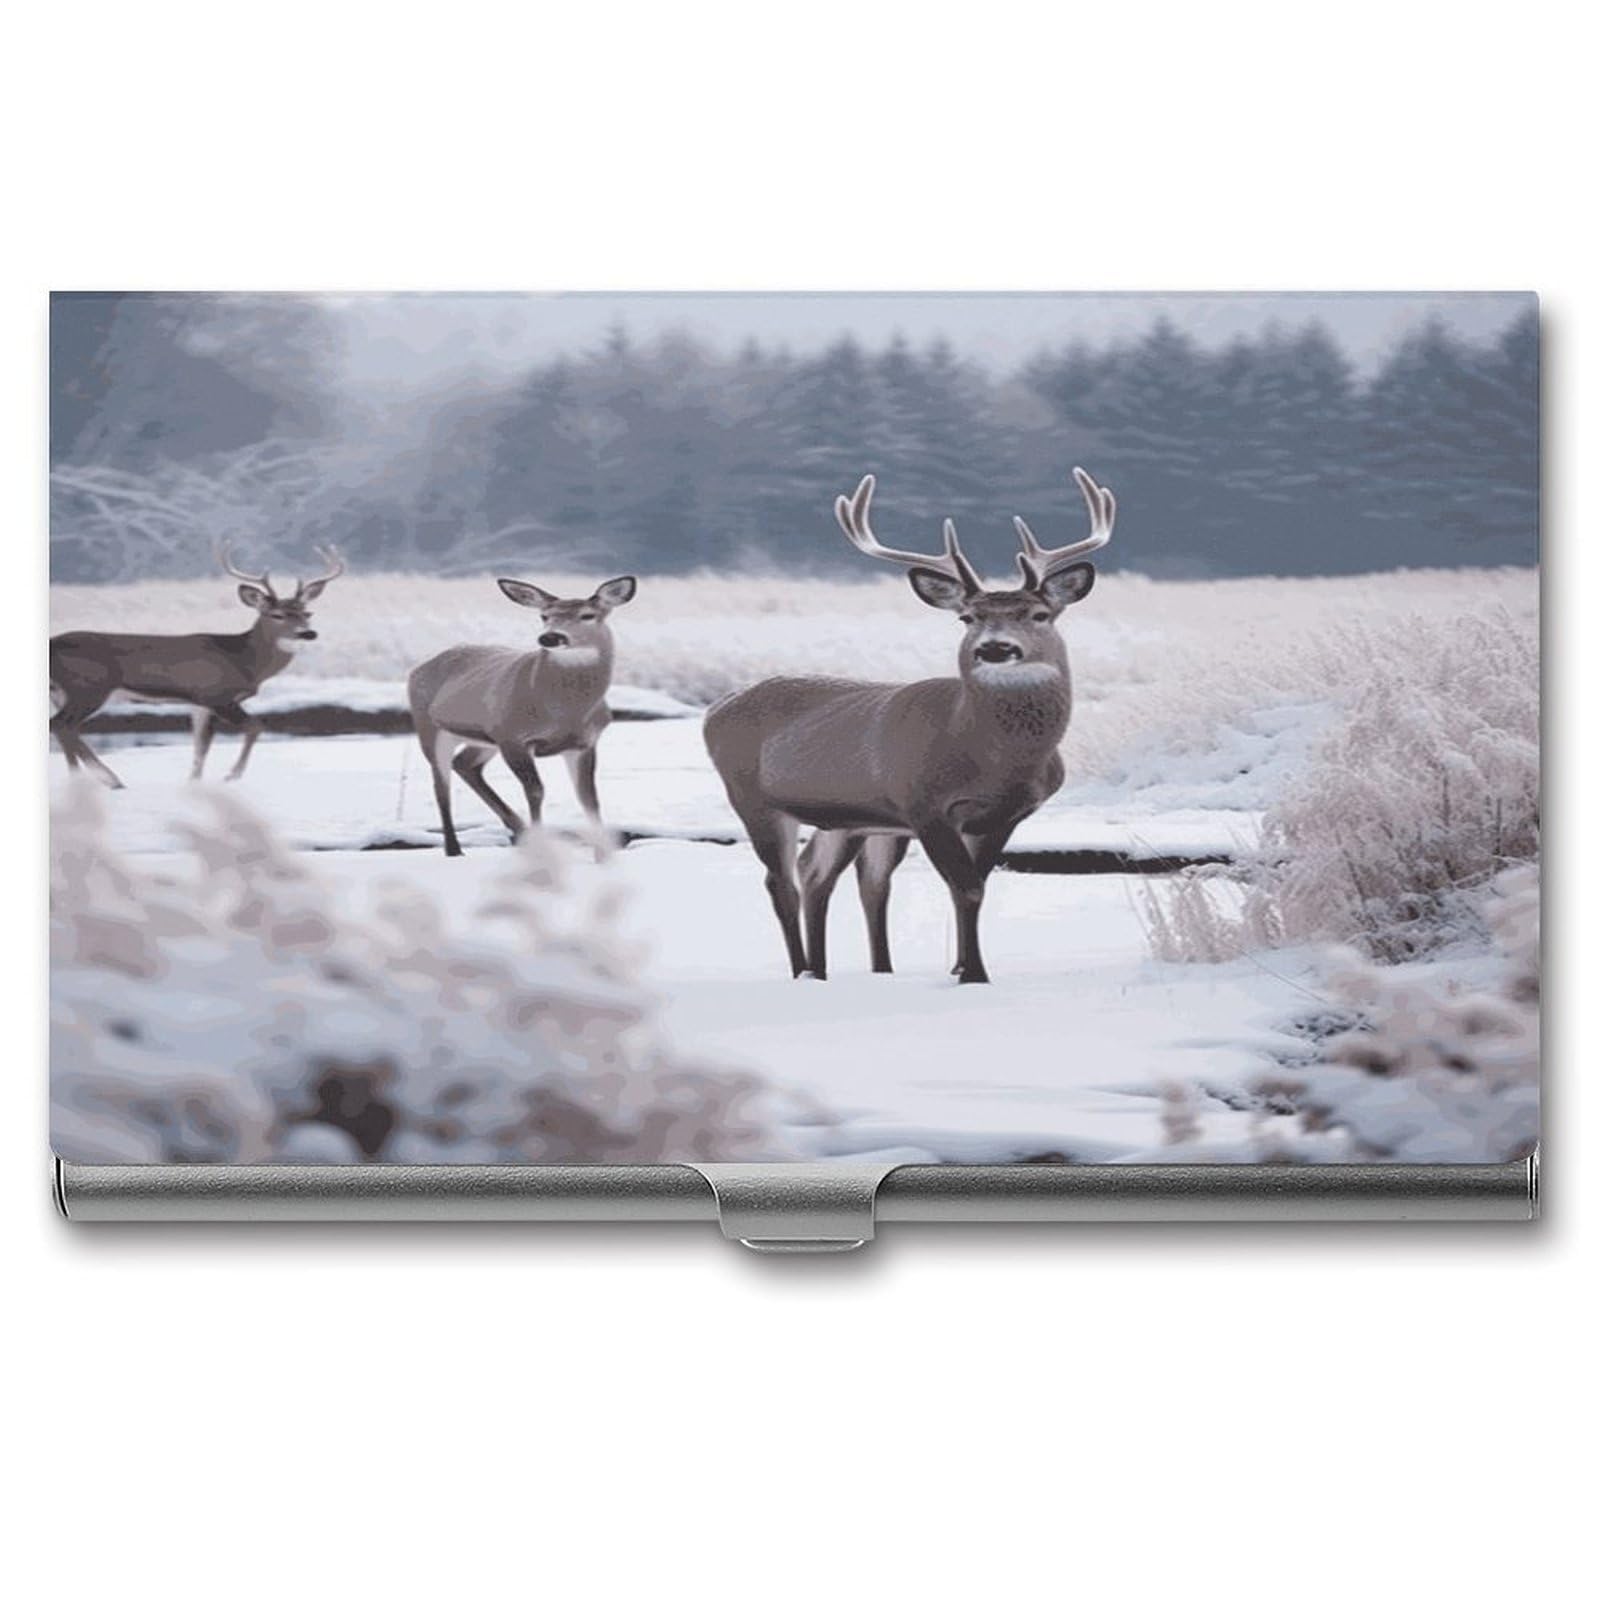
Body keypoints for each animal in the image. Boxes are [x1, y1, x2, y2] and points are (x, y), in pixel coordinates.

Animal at [49, 544, 345, 789]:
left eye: (307, 613)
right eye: (277, 614)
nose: (308, 633)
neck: (244, 660)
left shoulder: (200, 703)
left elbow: (200, 746)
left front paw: (194, 782)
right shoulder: (217, 694)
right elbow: (255, 726)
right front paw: (232, 775)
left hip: (64, 692)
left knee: (64, 727)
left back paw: (93, 779)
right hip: (88, 686)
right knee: (61, 724)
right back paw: (104, 779)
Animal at [406, 574, 638, 856]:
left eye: (587, 615)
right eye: (544, 616)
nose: (550, 637)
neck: (564, 714)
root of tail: (416, 669)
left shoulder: (584, 742)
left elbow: (589, 798)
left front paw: (602, 855)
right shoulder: (513, 736)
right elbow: (536, 791)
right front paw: (541, 848)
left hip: (485, 739)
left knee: (464, 763)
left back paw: (517, 828)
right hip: (430, 728)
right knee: (441, 786)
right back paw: (454, 849)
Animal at [704, 467, 1114, 985]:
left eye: (1040, 615)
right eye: (967, 617)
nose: (995, 648)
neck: (990, 756)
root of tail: (714, 710)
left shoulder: (1003, 816)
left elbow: (973, 885)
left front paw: (961, 967)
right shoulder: (923, 803)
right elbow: (967, 887)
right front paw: (974, 975)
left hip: (852, 821)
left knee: (830, 875)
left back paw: (855, 970)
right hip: (753, 799)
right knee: (783, 883)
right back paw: (802, 972)